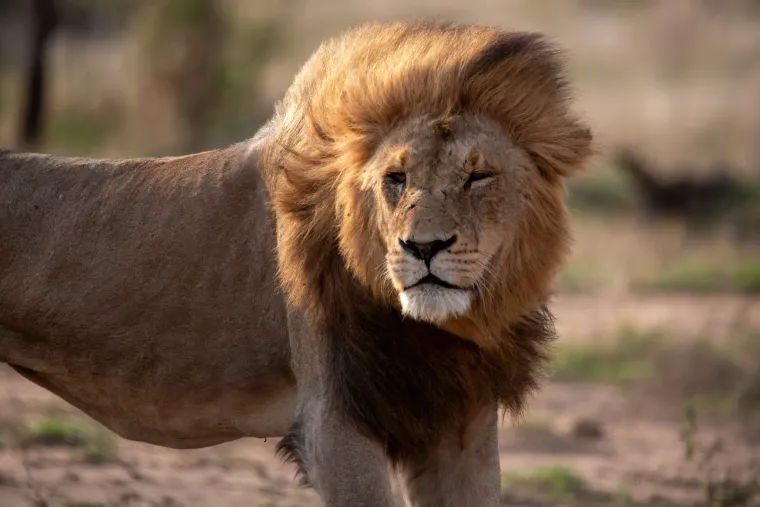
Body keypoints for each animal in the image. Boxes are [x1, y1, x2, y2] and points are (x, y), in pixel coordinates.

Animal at [0, 21, 592, 506]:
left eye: (478, 176)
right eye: (396, 178)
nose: (423, 248)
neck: (437, 329)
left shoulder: (462, 424)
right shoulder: (334, 422)